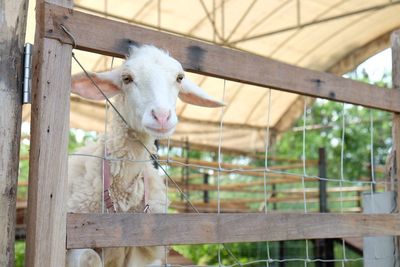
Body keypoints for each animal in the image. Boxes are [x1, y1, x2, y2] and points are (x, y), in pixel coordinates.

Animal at [64, 45, 223, 266]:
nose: (162, 116)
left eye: (179, 78)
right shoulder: (74, 234)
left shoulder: (142, 248)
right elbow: (89, 257)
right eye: (127, 78)